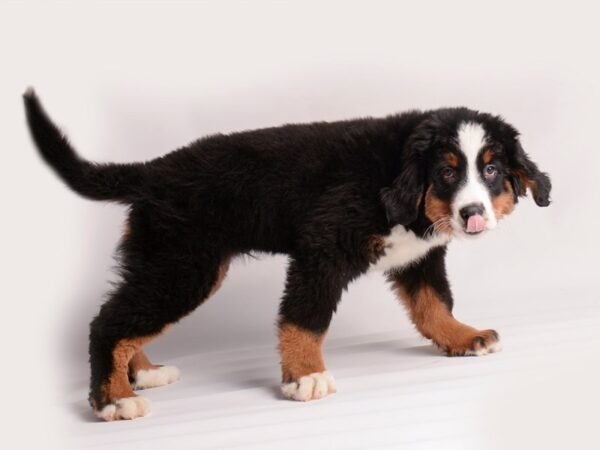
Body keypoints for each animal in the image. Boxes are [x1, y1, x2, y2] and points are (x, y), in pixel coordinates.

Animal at [23, 89, 552, 422]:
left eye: (492, 170)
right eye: (446, 172)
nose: (472, 214)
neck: (398, 173)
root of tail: (153, 170)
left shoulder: (418, 257)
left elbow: (433, 303)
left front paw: (463, 337)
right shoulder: (322, 248)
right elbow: (305, 319)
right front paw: (306, 377)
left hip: (166, 262)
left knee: (126, 317)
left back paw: (142, 374)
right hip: (184, 265)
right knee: (108, 323)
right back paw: (114, 400)